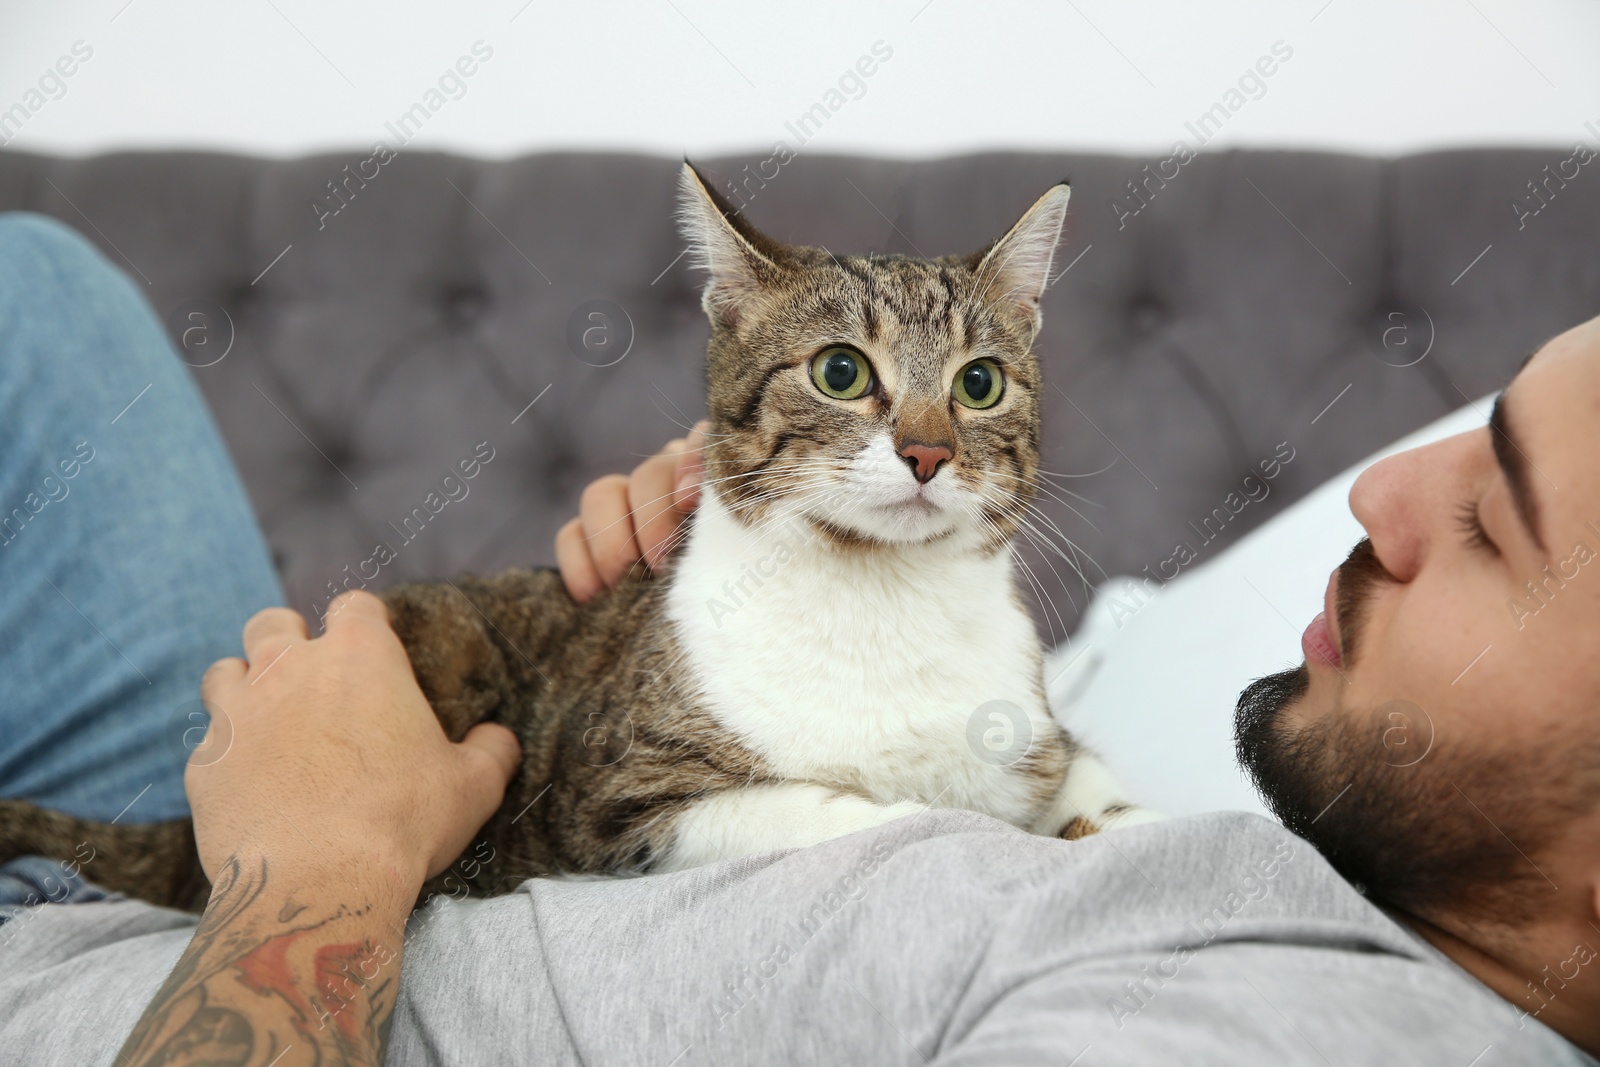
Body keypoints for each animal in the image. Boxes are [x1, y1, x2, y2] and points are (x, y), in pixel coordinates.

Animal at [0, 163, 1152, 915]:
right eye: (840, 371)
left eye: (978, 382)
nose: (926, 451)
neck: (881, 599)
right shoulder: (625, 803)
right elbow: (880, 815)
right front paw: (949, 818)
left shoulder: (1036, 738)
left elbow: (1089, 783)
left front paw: (1121, 822)